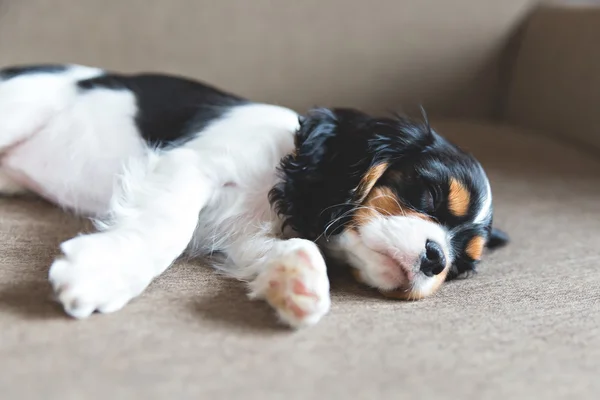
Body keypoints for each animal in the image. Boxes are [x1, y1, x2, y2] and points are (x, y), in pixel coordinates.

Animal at [0, 64, 506, 328]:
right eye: (428, 194)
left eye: (461, 268)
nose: (437, 259)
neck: (276, 177)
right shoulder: (191, 164)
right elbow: (169, 226)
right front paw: (101, 273)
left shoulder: (241, 238)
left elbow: (290, 245)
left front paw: (298, 282)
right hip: (22, 105)